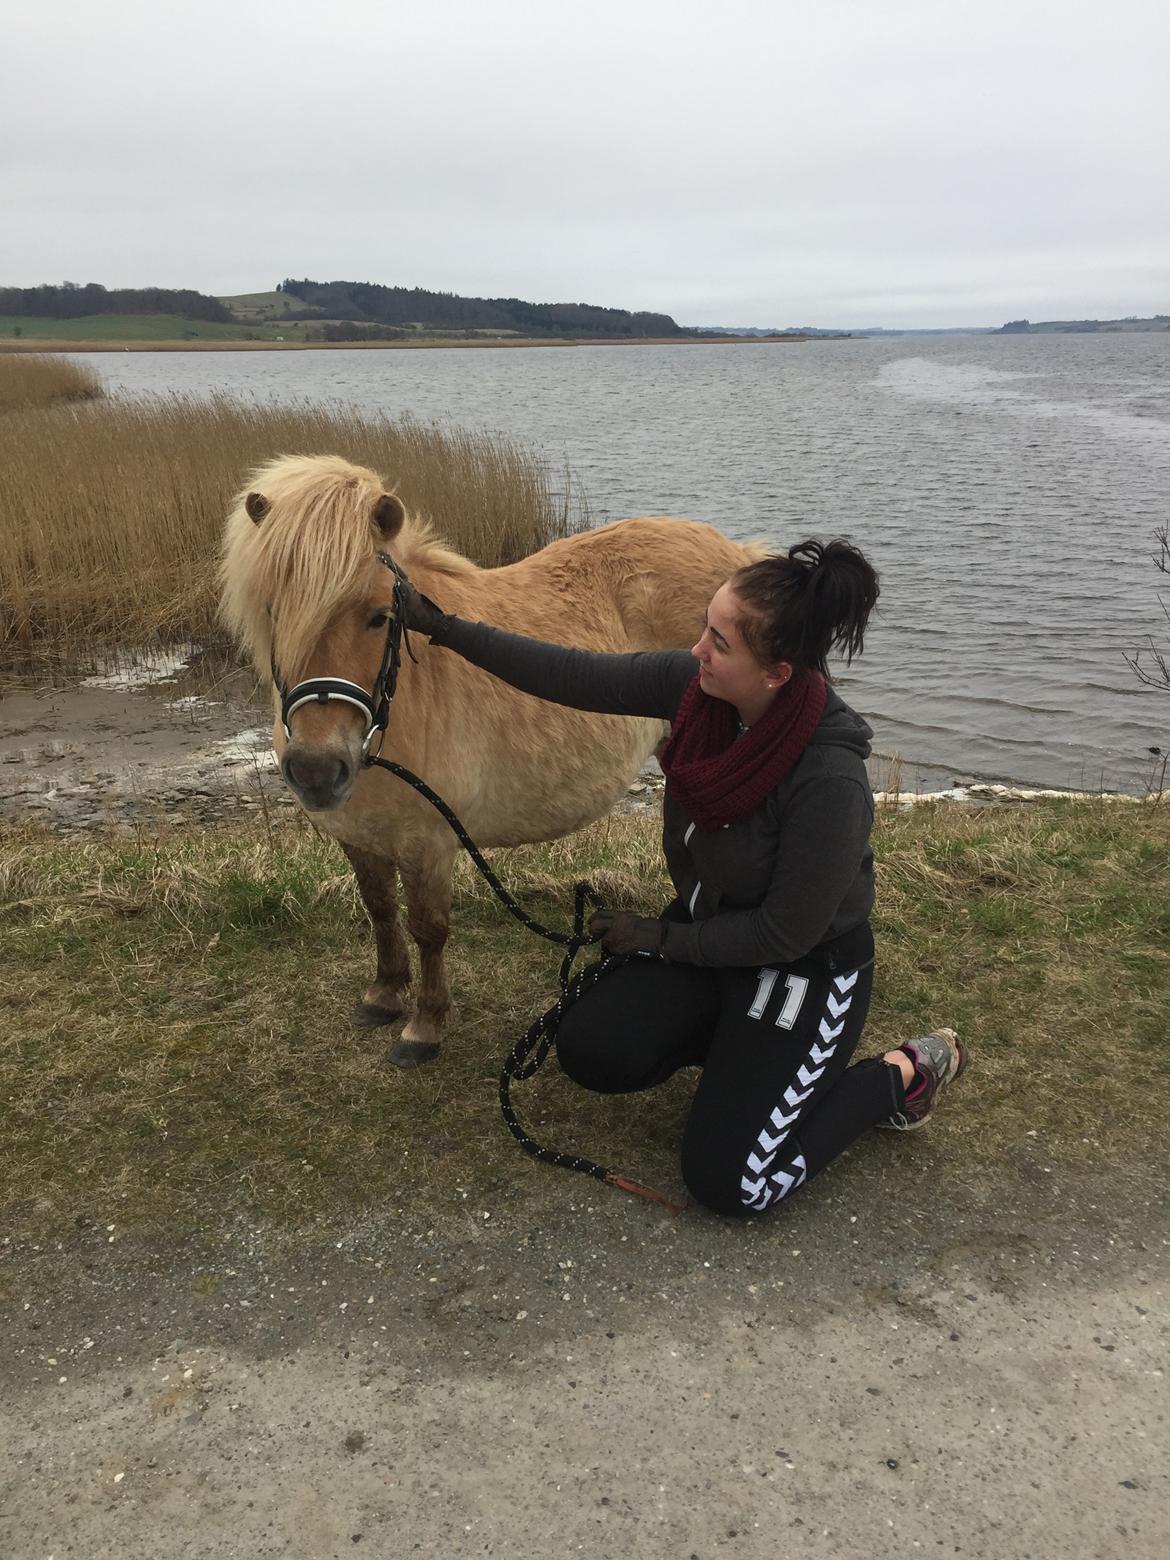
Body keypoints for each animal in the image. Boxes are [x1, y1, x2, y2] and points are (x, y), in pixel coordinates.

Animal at [221, 449, 761, 1060]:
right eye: (272, 613)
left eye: (380, 615)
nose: (316, 769)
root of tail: (736, 555)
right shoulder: (358, 836)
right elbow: (380, 910)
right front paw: (384, 996)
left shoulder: (428, 843)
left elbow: (428, 926)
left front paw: (424, 1026)